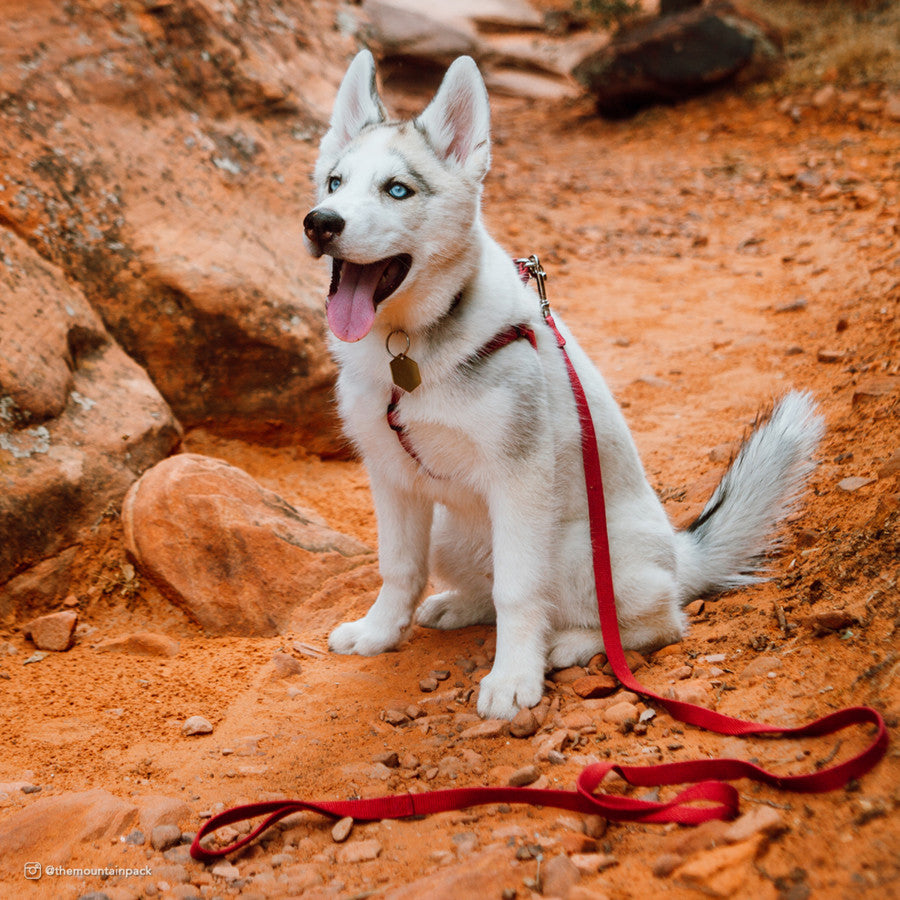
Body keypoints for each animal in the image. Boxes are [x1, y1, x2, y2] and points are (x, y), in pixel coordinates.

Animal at [302, 52, 824, 720]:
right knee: (484, 584)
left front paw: (513, 678)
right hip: (454, 530)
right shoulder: (391, 475)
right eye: (334, 183)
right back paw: (461, 606)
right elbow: (398, 568)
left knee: (656, 620)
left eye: (398, 190)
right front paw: (379, 633)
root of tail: (680, 554)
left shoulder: (520, 477)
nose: (320, 224)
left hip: (577, 549)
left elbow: (519, 593)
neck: (411, 351)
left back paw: (571, 645)